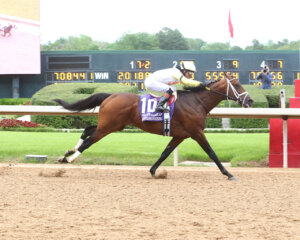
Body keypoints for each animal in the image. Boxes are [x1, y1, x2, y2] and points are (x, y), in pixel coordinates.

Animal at [54, 73, 253, 180]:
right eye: (236, 84)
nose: (250, 100)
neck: (197, 102)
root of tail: (111, 95)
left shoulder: (180, 135)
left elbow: (165, 152)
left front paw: (153, 171)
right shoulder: (196, 132)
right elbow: (211, 153)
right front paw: (228, 173)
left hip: (113, 124)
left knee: (88, 129)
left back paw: (67, 153)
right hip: (109, 126)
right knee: (90, 140)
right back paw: (70, 159)